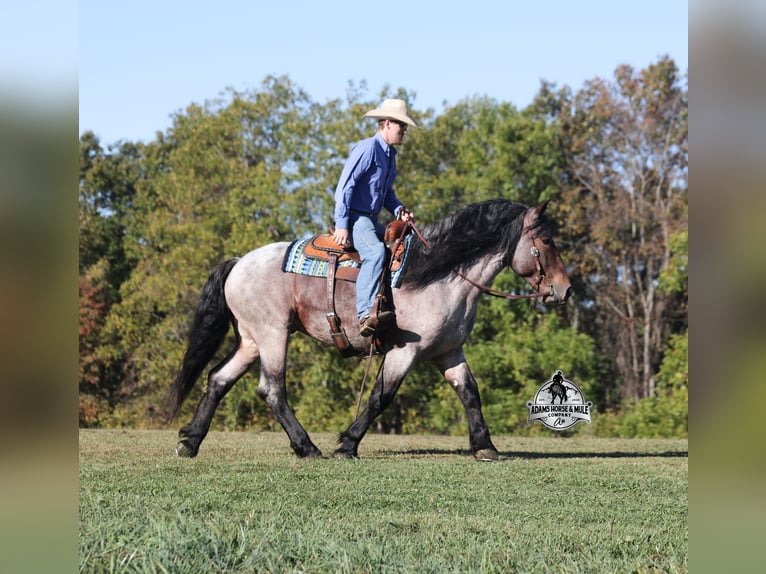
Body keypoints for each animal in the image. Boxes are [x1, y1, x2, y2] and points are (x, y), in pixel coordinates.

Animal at [165, 199, 572, 461]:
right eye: (546, 241)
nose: (565, 289)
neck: (441, 275)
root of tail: (238, 263)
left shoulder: (448, 352)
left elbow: (470, 393)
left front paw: (485, 446)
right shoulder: (405, 352)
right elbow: (381, 397)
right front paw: (347, 443)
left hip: (251, 340)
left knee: (218, 379)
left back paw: (190, 442)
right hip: (273, 335)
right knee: (272, 390)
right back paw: (307, 448)